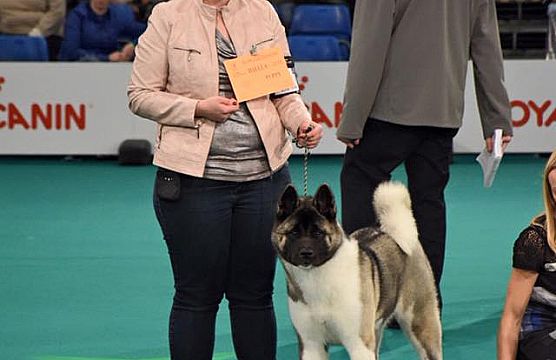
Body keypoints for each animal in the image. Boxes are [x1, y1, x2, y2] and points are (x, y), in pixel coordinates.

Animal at [272, 183, 440, 360]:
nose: (305, 253)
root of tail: (394, 234)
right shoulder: (312, 345)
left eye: (318, 233)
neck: (317, 276)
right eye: (293, 233)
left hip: (421, 324)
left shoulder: (359, 345)